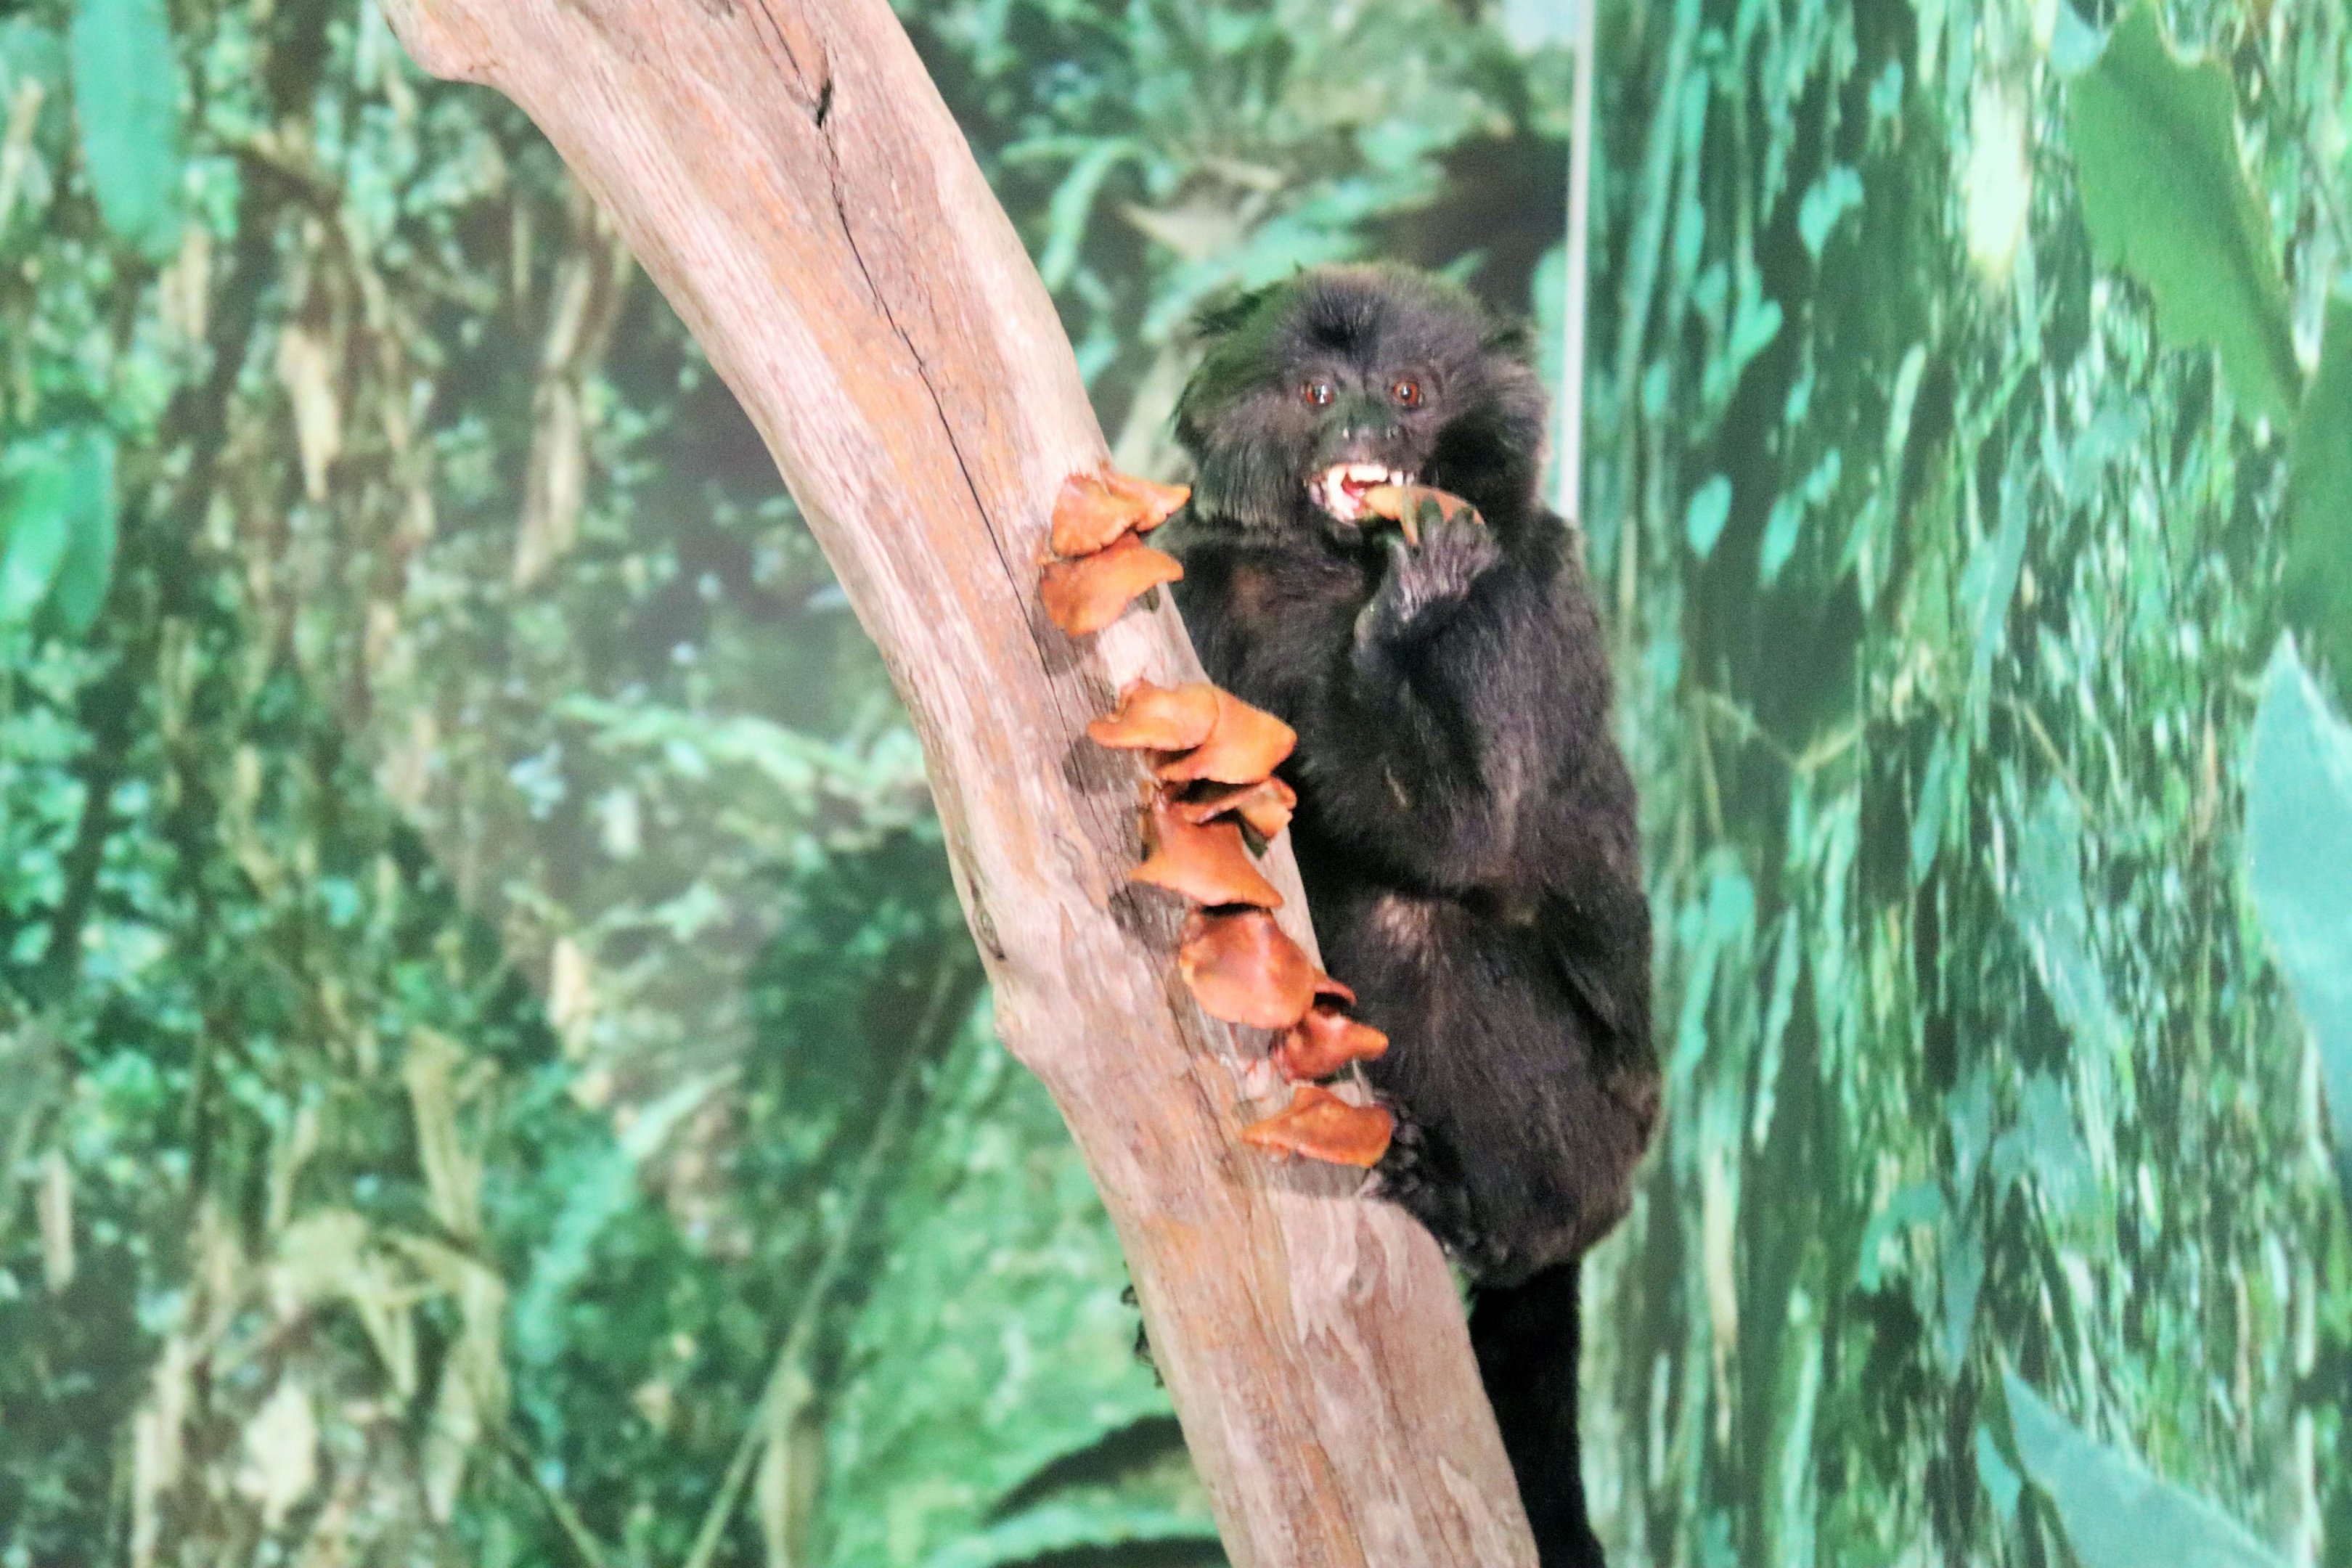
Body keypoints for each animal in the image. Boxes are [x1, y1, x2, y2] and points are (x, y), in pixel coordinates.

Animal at [1156, 263, 1660, 1568]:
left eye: (1411, 393)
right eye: (1317, 394)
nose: (1360, 434)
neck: (1330, 575)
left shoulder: (1530, 595)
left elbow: (1456, 836)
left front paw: (1408, 606)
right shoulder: (1202, 581)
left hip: (1591, 1142)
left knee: (1416, 919)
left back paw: (1482, 1214)